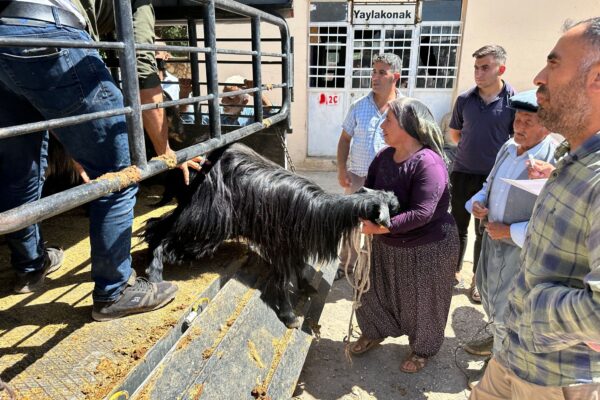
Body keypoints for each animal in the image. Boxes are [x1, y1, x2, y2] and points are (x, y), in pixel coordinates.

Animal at [144, 144, 398, 328]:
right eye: (391, 207)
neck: (316, 211)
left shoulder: (293, 246)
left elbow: (299, 267)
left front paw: (306, 287)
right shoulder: (280, 246)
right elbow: (282, 279)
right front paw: (288, 315)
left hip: (195, 215)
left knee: (157, 224)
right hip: (204, 222)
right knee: (162, 234)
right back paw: (155, 273)